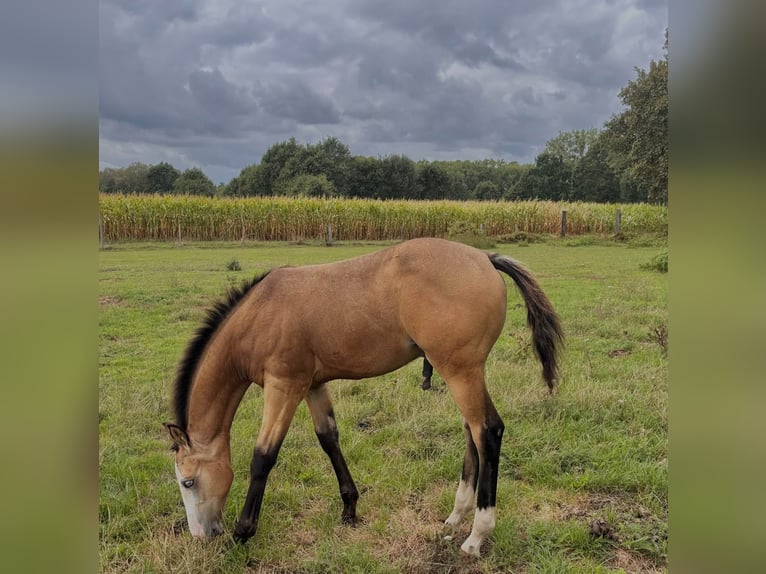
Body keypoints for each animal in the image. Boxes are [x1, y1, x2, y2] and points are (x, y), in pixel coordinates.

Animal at [164, 237, 563, 557]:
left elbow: (263, 456)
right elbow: (328, 439)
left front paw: (243, 532)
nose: (202, 535)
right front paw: (350, 509)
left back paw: (477, 536)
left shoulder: (283, 385)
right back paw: (455, 518)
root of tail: (484, 257)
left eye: (188, 481)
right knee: (472, 433)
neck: (260, 314)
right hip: (463, 373)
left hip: (460, 372)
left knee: (488, 432)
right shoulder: (312, 385)